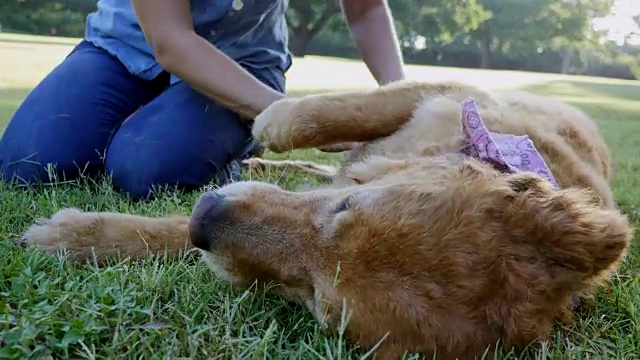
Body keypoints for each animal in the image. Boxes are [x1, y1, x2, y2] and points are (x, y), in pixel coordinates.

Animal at [17, 80, 632, 358]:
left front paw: (77, 236)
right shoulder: (447, 93)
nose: (204, 219)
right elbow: (328, 113)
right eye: (343, 209)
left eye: (315, 299)